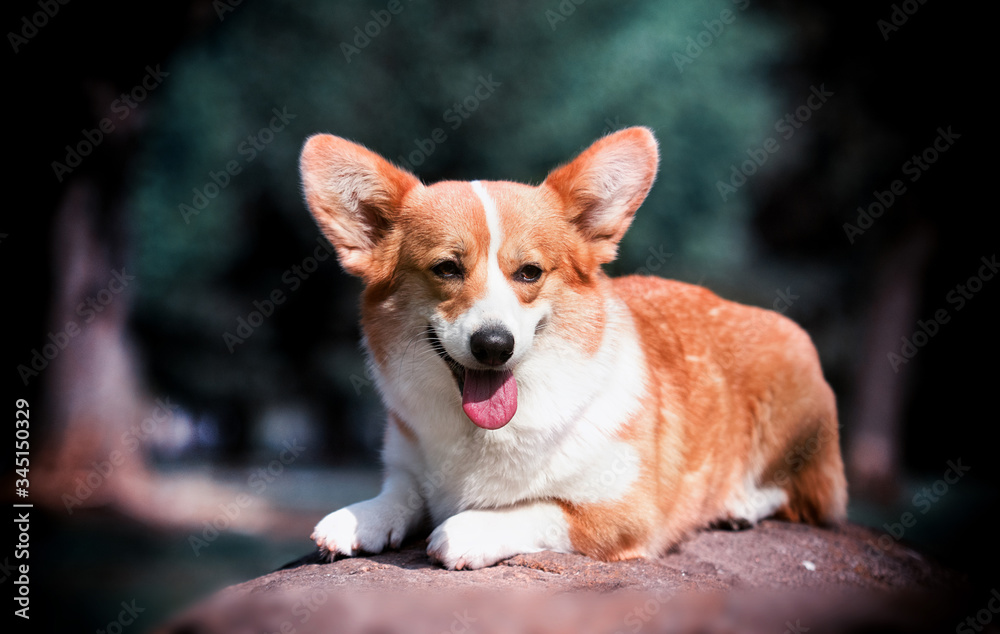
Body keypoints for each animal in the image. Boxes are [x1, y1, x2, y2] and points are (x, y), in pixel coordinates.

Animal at [296, 124, 844, 568]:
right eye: (447, 268)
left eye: (529, 272)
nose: (493, 345)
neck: (485, 435)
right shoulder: (407, 466)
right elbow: (402, 493)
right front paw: (358, 518)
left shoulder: (625, 512)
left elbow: (536, 509)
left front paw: (467, 530)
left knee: (802, 499)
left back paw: (740, 506)